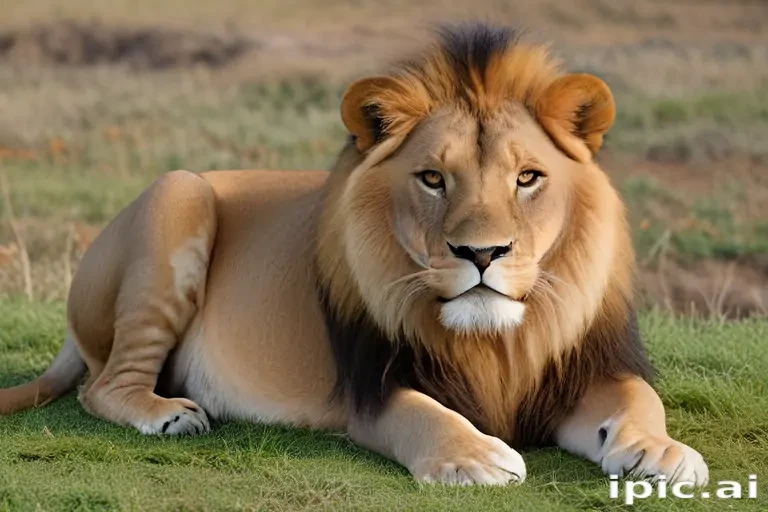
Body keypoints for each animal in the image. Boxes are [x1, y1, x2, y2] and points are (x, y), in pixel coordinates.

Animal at [0, 22, 708, 487]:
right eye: (432, 178)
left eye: (527, 178)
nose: (481, 253)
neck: (497, 342)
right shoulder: (373, 387)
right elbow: (425, 416)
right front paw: (477, 457)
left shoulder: (579, 372)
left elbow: (640, 397)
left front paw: (660, 450)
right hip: (180, 191)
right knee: (103, 388)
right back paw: (169, 413)